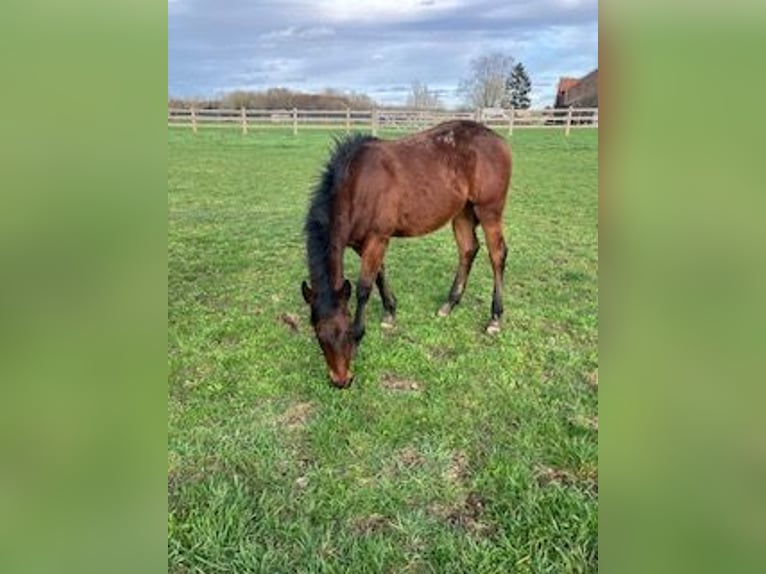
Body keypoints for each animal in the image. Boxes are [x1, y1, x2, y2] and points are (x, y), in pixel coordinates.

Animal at [301, 120, 512, 388]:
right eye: (318, 334)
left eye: (346, 330)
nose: (341, 381)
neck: (357, 184)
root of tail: (498, 139)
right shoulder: (363, 243)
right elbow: (379, 275)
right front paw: (390, 312)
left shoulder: (377, 238)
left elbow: (363, 288)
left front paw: (361, 337)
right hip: (462, 212)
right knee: (468, 249)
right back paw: (449, 304)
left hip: (489, 211)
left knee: (497, 255)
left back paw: (495, 319)